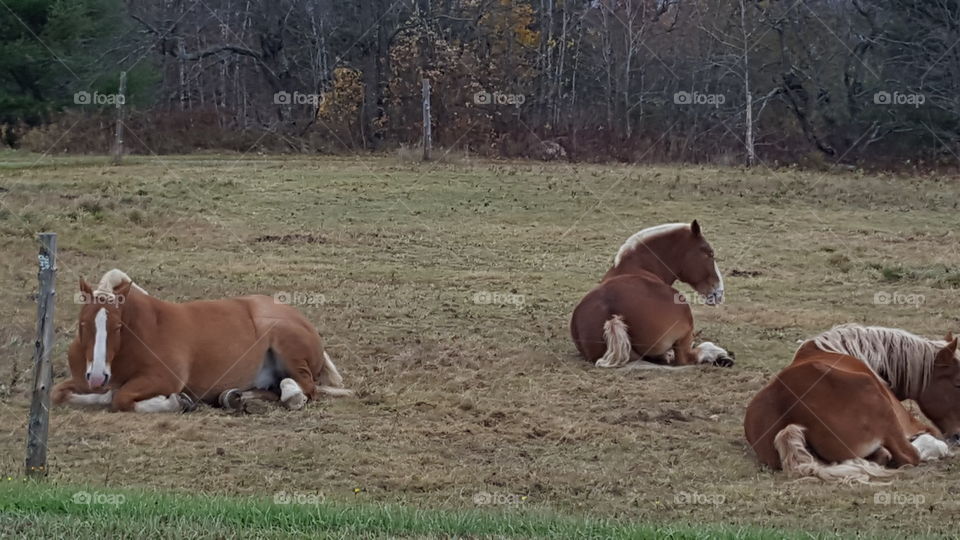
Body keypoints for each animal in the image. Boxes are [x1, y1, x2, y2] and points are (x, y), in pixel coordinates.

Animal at [52, 269, 351, 413]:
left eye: (117, 326)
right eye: (82, 324)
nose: (98, 376)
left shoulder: (164, 378)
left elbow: (121, 397)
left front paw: (175, 403)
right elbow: (58, 393)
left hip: (285, 343)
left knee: (304, 388)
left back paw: (290, 396)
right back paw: (235, 397)